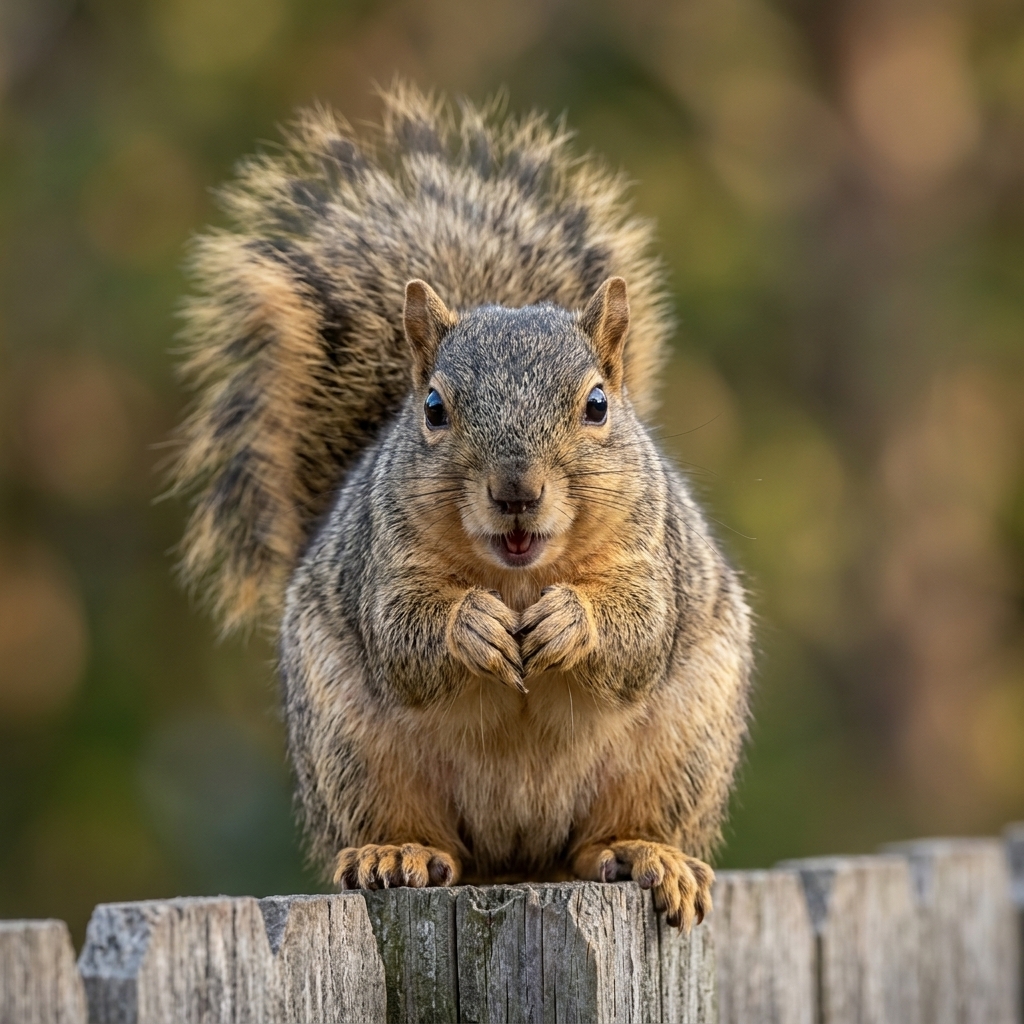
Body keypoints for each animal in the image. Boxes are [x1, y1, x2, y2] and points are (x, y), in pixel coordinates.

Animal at [171, 81, 752, 930]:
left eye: (598, 404)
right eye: (435, 409)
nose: (516, 491)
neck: (517, 573)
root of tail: (519, 861)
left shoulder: (655, 556)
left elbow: (639, 630)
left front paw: (569, 620)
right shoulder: (383, 563)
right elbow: (403, 634)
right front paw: (470, 625)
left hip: (683, 748)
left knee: (610, 834)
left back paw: (643, 852)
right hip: (351, 748)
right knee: (415, 829)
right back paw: (396, 852)